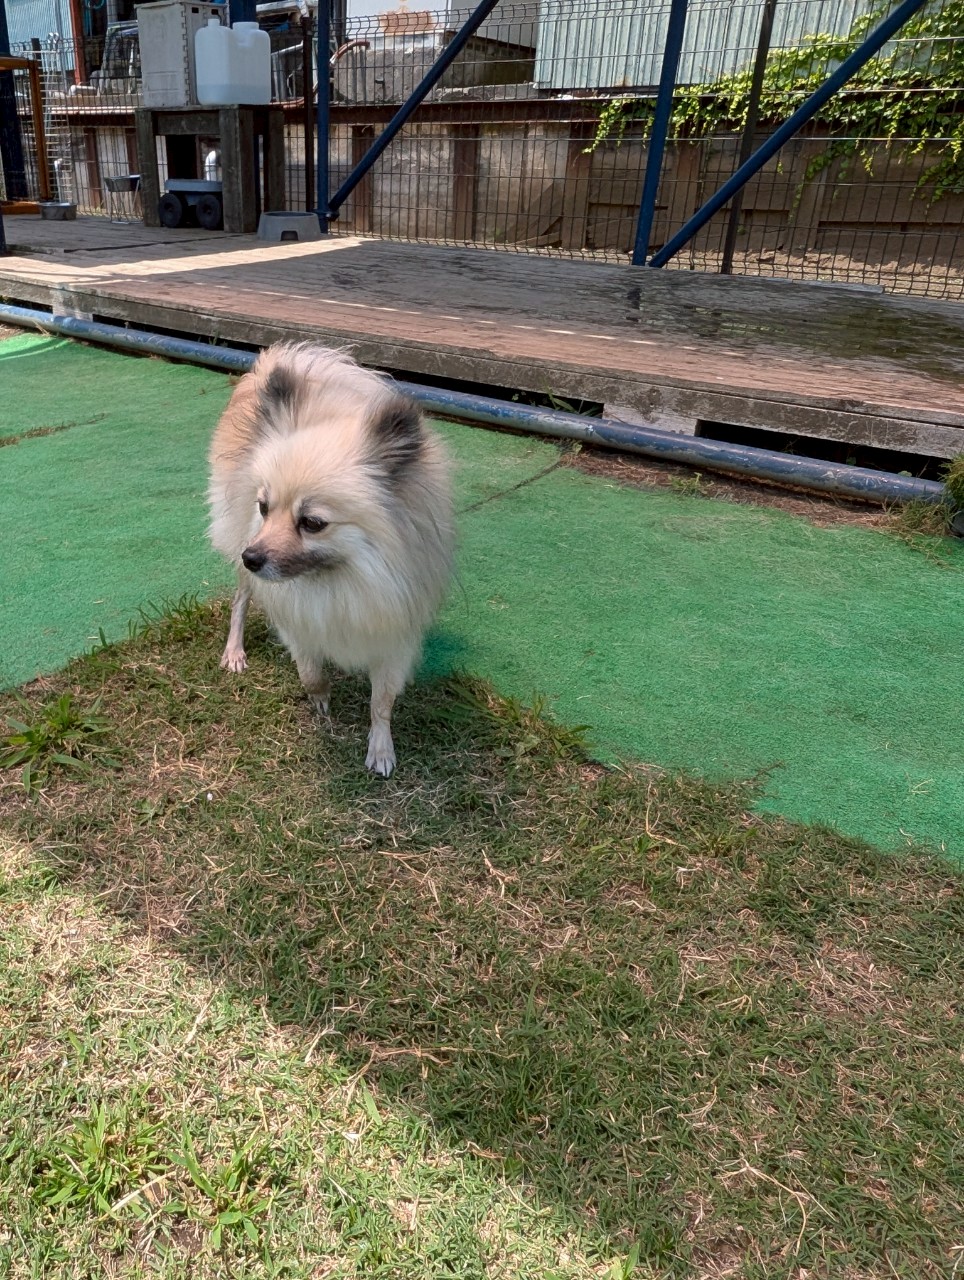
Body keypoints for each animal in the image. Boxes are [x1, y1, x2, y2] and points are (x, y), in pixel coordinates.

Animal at [207, 342, 453, 776]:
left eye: (312, 523)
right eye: (264, 507)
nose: (251, 557)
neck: (340, 579)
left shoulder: (394, 634)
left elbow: (381, 702)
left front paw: (380, 748)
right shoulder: (298, 622)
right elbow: (309, 673)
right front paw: (321, 701)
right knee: (240, 600)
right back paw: (234, 651)